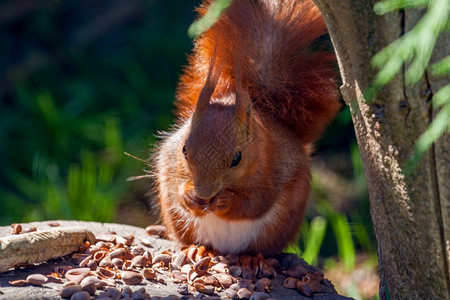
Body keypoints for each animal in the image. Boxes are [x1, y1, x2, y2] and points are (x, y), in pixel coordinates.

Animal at [153, 0, 340, 255]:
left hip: (278, 227)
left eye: (237, 159)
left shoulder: (273, 168)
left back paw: (252, 258)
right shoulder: (171, 162)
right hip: (176, 219)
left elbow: (255, 203)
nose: (205, 193)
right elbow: (178, 187)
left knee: (261, 247)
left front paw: (226, 201)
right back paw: (198, 249)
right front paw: (190, 198)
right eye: (184, 151)